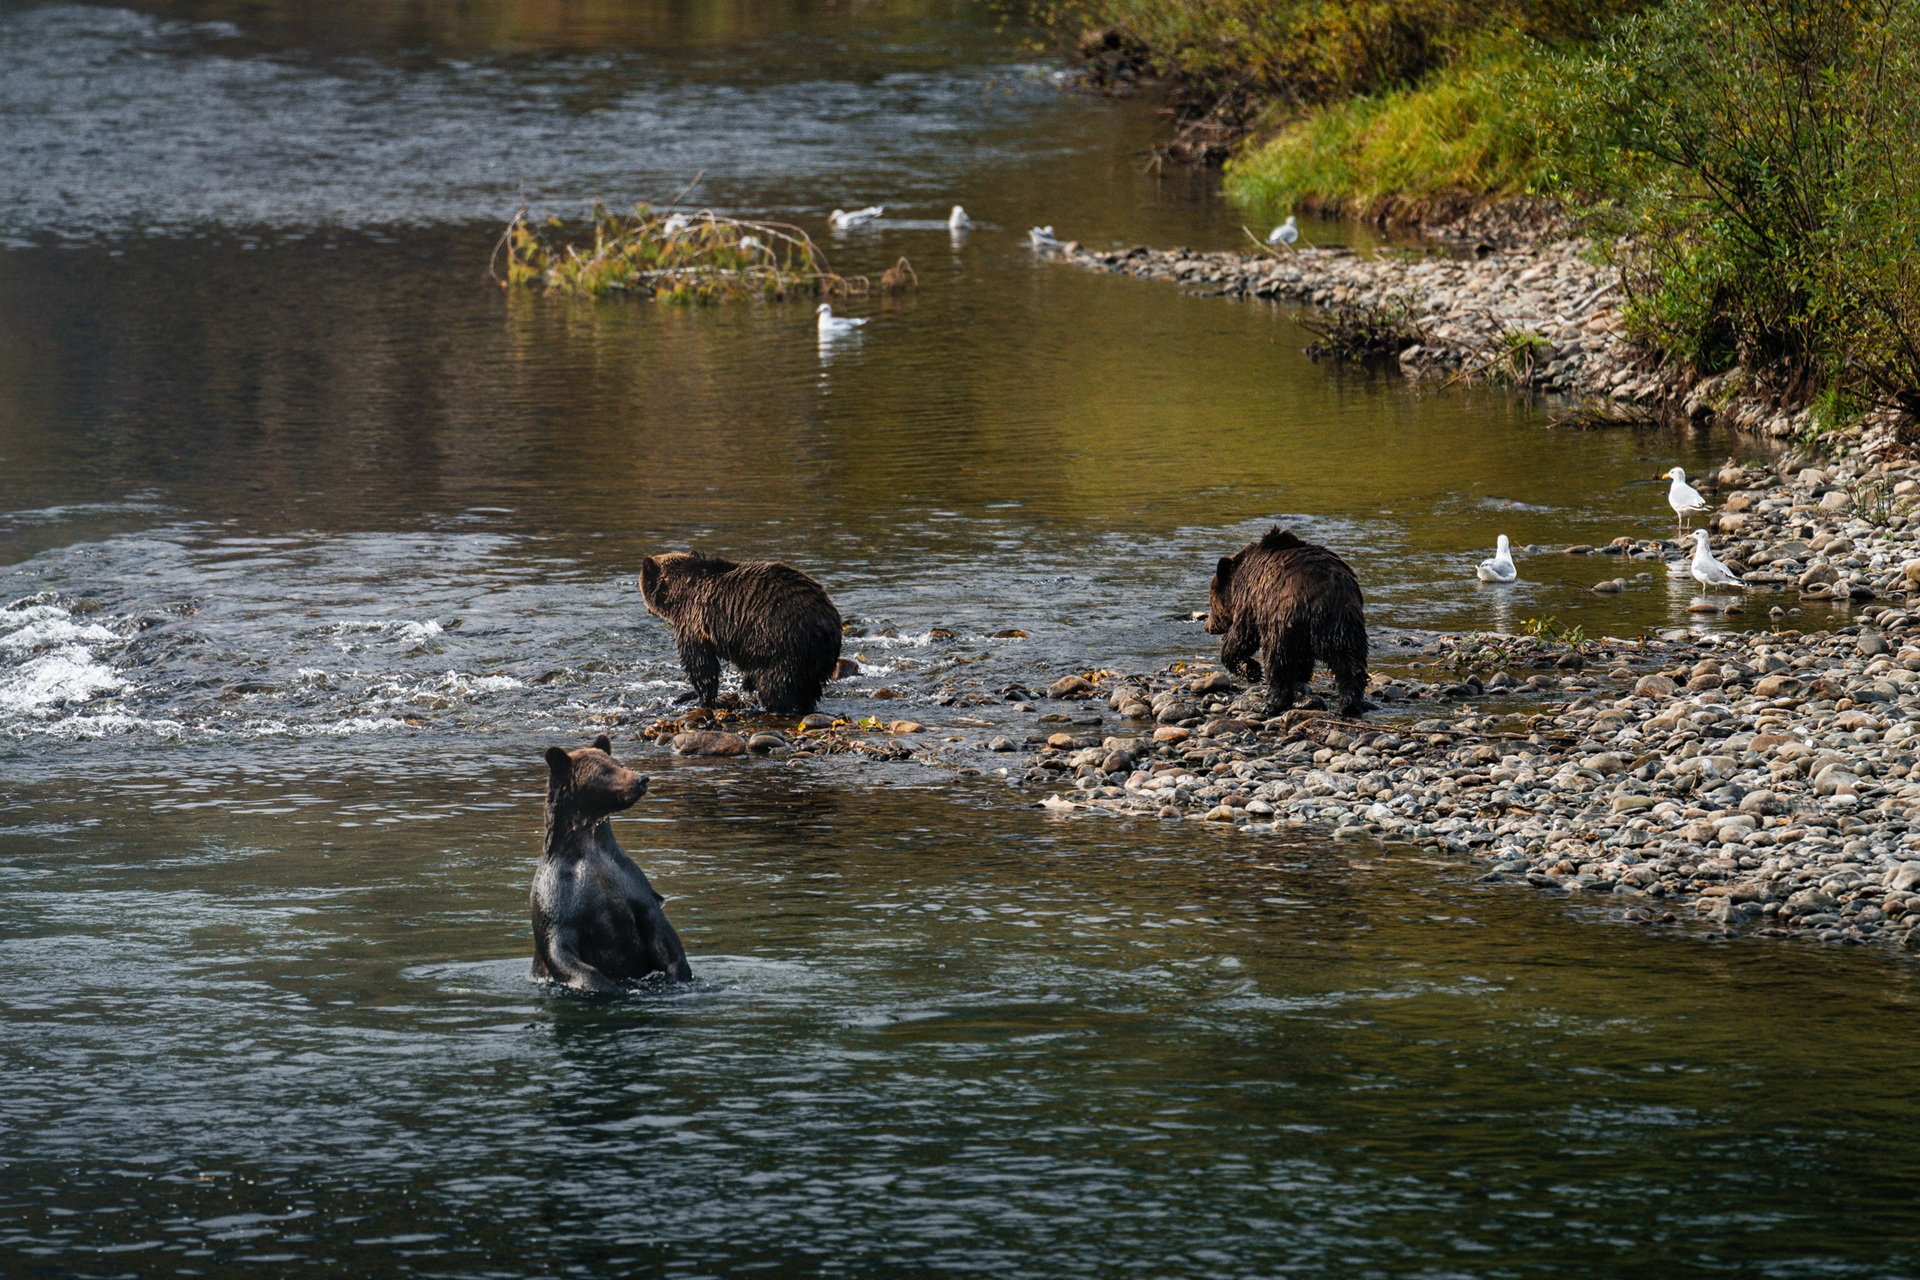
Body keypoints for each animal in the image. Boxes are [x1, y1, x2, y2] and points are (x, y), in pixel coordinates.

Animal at [531, 735, 692, 993]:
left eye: (618, 763)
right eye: (603, 772)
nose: (641, 779)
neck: (590, 849)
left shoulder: (633, 888)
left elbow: (665, 940)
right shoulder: (559, 900)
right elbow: (561, 952)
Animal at [639, 551, 841, 715]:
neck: (679, 596)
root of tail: (824, 625)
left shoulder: (694, 621)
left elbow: (701, 664)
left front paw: (704, 700)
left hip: (783, 644)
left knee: (776, 684)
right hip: (816, 659)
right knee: (810, 689)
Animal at [1204, 526, 1369, 717]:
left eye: (1211, 599)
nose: (1208, 626)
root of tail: (1320, 598)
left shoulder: (1251, 601)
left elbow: (1242, 636)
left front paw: (1251, 670)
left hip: (1284, 620)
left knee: (1278, 659)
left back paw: (1275, 700)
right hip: (1343, 622)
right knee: (1350, 661)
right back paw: (1350, 704)